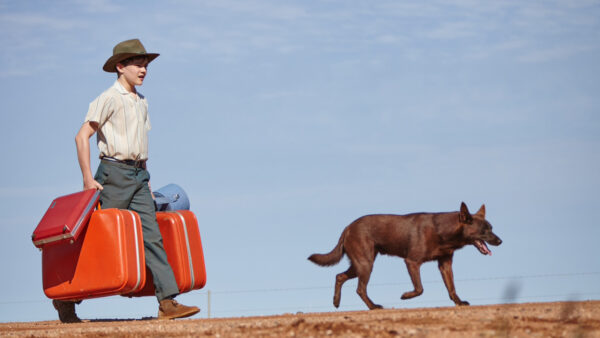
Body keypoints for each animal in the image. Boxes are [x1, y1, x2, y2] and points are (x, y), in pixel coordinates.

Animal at [310, 202, 502, 310]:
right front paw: (405, 296)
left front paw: (459, 302)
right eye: (484, 230)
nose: (500, 241)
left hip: (360, 263)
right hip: (365, 264)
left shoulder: (445, 264)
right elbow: (420, 288)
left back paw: (336, 302)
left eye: (491, 228)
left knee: (339, 276)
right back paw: (373, 306)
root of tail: (347, 227)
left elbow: (452, 288)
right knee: (360, 289)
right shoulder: (412, 262)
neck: (442, 231)